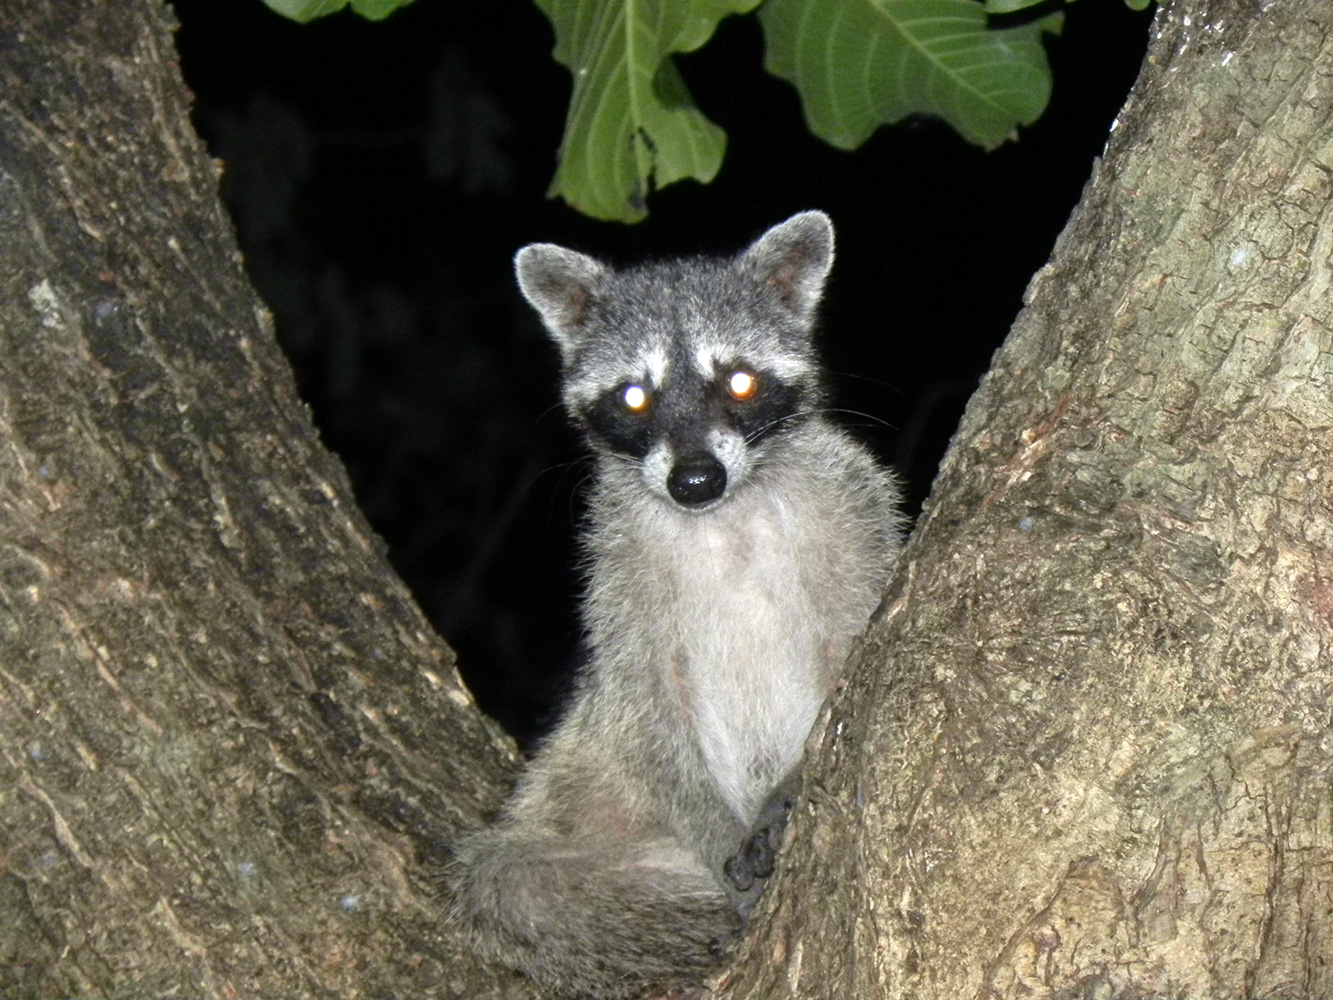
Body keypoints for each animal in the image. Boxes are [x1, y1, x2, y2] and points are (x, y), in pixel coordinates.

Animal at [450, 213, 906, 1000]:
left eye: (740, 381)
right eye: (635, 396)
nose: (694, 479)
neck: (724, 516)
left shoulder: (856, 515)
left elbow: (850, 665)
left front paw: (790, 788)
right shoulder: (616, 580)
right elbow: (649, 709)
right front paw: (722, 843)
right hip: (574, 789)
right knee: (510, 880)